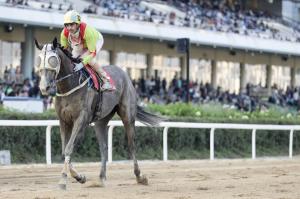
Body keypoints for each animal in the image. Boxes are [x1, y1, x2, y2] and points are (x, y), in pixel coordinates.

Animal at [34, 37, 162, 190]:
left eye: (52, 60)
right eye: (39, 60)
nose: (44, 87)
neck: (70, 85)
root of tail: (124, 73)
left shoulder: (81, 120)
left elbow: (69, 148)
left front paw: (63, 180)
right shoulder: (64, 121)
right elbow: (64, 151)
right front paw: (80, 177)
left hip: (128, 116)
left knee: (131, 145)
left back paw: (140, 176)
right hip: (101, 121)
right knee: (104, 147)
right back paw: (101, 178)